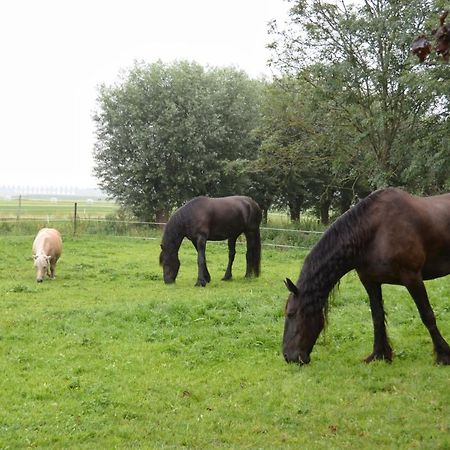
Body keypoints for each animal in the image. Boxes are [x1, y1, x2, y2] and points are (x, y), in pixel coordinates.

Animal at [282, 186, 450, 366]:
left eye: (291, 314)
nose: (288, 356)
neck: (375, 232)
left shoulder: (412, 277)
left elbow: (427, 315)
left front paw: (443, 355)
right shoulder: (370, 281)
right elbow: (377, 317)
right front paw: (379, 355)